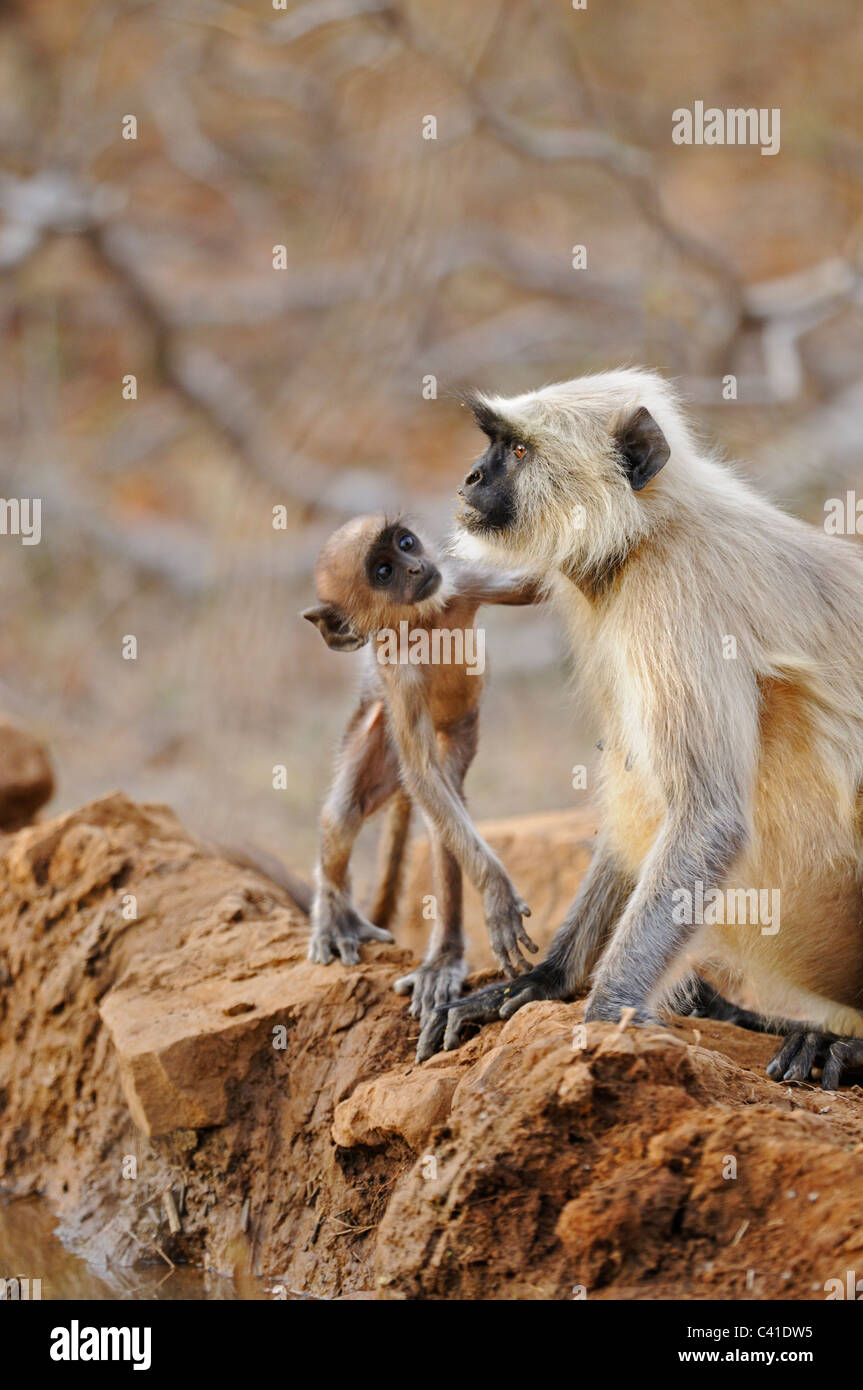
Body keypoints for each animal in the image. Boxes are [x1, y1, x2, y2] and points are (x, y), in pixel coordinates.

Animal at [302, 514, 539, 1050]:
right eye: (384, 572)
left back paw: (444, 963)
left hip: (460, 734)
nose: (416, 567)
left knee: (441, 821)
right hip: (377, 726)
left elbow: (536, 586)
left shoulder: (460, 583)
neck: (421, 622)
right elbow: (421, 776)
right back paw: (336, 915)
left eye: (406, 543)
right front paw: (496, 893)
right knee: (345, 815)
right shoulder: (397, 675)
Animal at [419, 372, 863, 1095]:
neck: (651, 528)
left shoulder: (676, 597)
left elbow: (707, 816)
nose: (469, 476)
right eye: (492, 446)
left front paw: (608, 1008)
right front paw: (547, 979)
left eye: (517, 452)